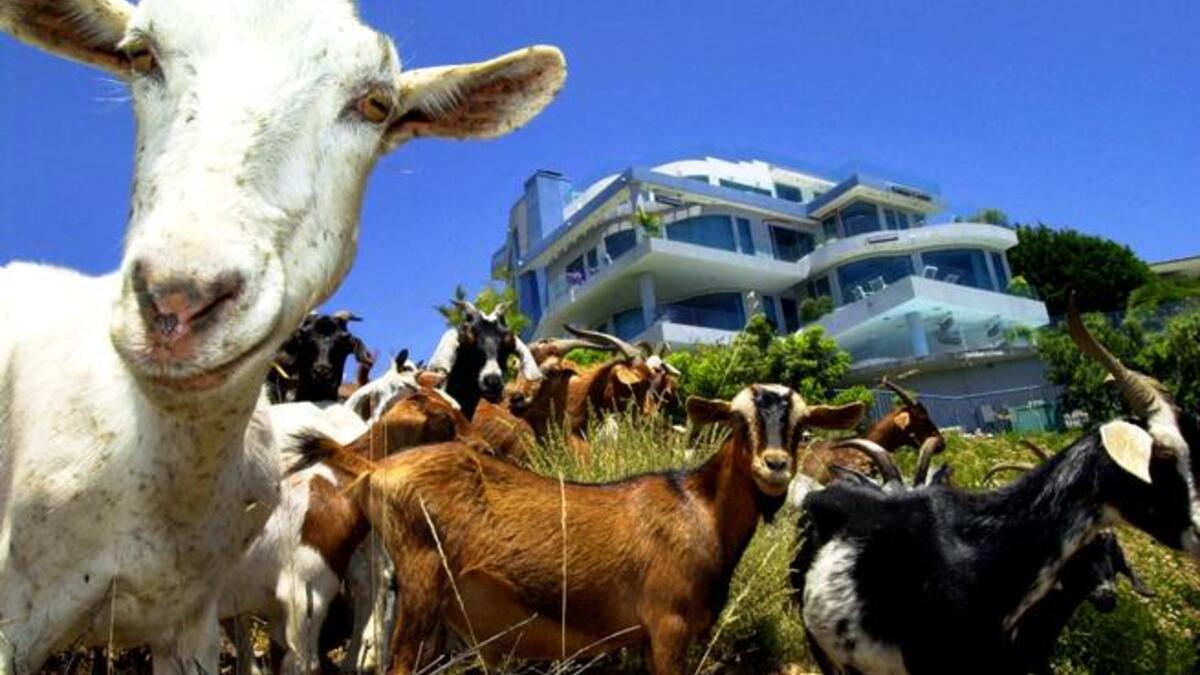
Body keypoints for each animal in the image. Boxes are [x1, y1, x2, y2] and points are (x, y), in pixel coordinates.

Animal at [291, 384, 865, 674]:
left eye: (802, 426)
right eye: (740, 422)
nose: (775, 466)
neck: (698, 507)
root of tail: (374, 469)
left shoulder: (643, 636)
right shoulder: (669, 624)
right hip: (421, 581)